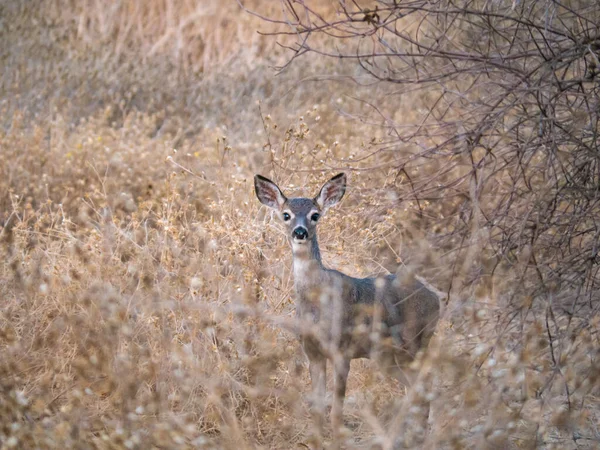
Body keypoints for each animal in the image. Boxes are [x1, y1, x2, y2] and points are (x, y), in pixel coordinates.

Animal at [253, 172, 440, 442]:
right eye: (286, 214)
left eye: (315, 215)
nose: (300, 232)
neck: (317, 303)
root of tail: (436, 298)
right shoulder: (312, 352)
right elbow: (317, 408)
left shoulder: (342, 350)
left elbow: (336, 409)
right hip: (389, 356)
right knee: (415, 389)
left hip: (415, 342)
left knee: (424, 385)